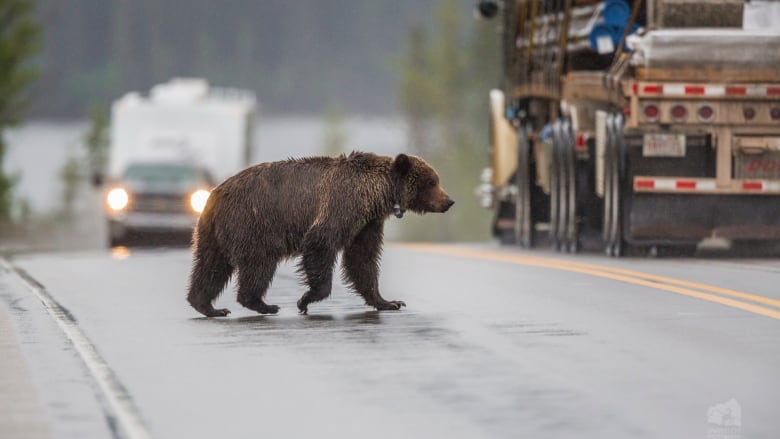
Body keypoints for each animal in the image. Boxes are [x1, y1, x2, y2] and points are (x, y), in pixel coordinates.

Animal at [187, 151, 450, 316]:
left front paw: (389, 302)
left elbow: (363, 259)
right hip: (253, 223)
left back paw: (207, 306)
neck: (376, 194)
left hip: (213, 232)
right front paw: (305, 300)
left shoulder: (367, 223)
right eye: (432, 182)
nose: (449, 201)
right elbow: (321, 242)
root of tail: (215, 194)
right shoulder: (343, 204)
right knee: (258, 264)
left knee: (211, 266)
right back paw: (264, 304)